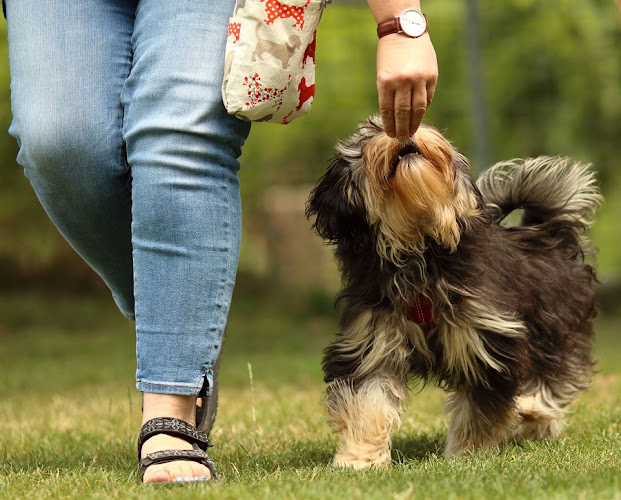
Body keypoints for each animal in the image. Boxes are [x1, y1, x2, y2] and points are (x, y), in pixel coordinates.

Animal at [306, 117, 600, 468]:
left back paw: (534, 410)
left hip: (554, 324)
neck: (419, 251)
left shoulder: (487, 338)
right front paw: (359, 458)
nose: (403, 130)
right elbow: (369, 402)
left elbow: (478, 408)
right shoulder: (373, 343)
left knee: (553, 375)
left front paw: (467, 454)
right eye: (368, 136)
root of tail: (547, 234)